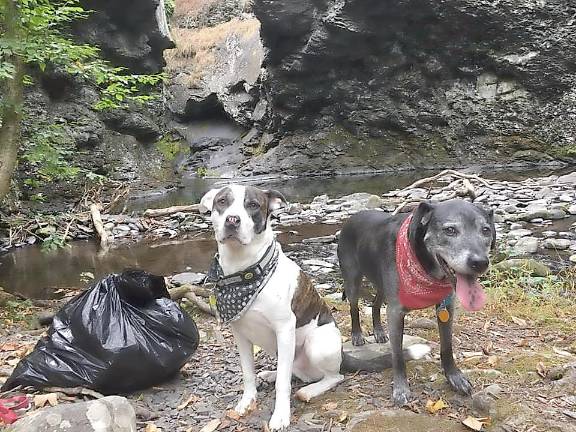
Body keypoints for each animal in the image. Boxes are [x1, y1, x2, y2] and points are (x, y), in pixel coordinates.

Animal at [198, 184, 428, 430]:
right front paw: (247, 401)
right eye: (222, 201)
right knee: (292, 371)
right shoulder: (240, 335)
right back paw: (271, 373)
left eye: (252, 205)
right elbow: (248, 374)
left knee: (332, 376)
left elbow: (283, 384)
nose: (232, 220)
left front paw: (280, 416)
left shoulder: (284, 330)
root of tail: (342, 354)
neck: (245, 270)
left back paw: (309, 390)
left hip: (318, 343)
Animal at [338, 199, 496, 404]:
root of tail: (353, 217)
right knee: (354, 307)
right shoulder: (396, 312)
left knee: (375, 304)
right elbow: (398, 356)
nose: (479, 263)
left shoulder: (446, 307)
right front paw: (401, 389)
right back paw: (357, 335)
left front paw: (454, 377)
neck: (425, 270)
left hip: (381, 284)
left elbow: (447, 347)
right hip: (353, 280)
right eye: (450, 230)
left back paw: (379, 332)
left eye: (485, 230)